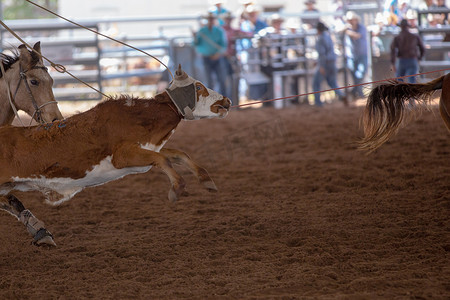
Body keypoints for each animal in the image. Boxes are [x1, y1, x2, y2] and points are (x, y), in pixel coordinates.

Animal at [0, 65, 230, 246]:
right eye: (198, 87)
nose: (227, 101)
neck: (139, 117)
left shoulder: (145, 149)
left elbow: (178, 155)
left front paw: (206, 179)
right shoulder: (123, 156)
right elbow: (163, 159)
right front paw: (177, 188)